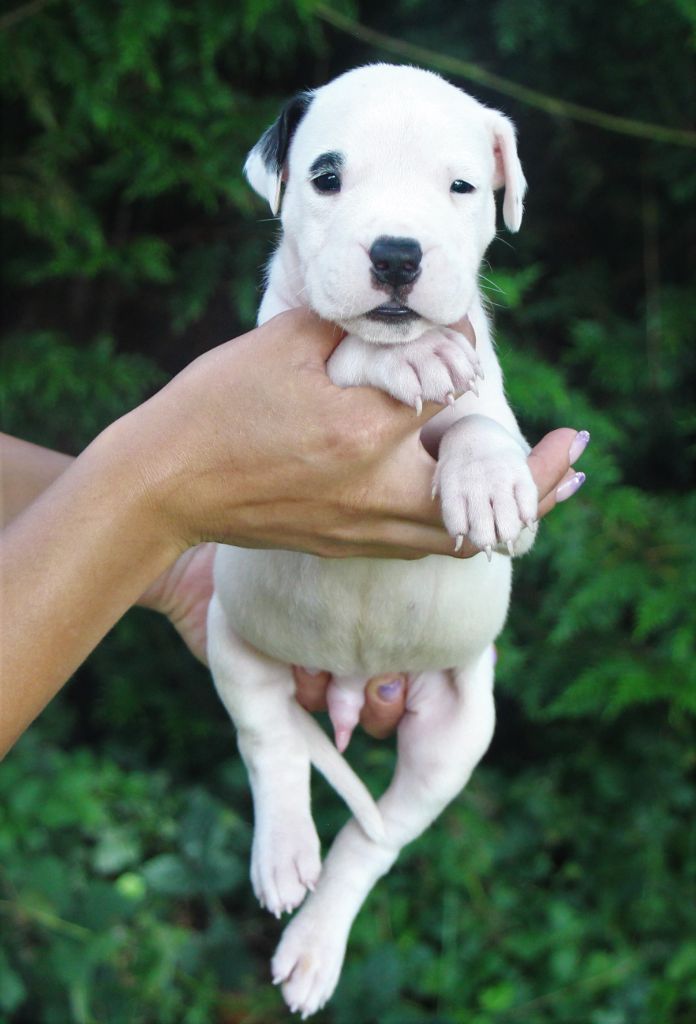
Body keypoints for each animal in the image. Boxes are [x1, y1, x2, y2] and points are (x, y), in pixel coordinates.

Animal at [207, 64, 537, 1017]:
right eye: (326, 177)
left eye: (461, 187)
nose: (396, 255)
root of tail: (352, 681)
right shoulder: (268, 367)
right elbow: (344, 355)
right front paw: (401, 361)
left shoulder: (489, 396)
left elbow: (481, 423)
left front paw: (489, 478)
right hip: (227, 634)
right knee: (271, 744)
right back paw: (285, 856)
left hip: (460, 731)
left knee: (377, 841)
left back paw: (317, 944)